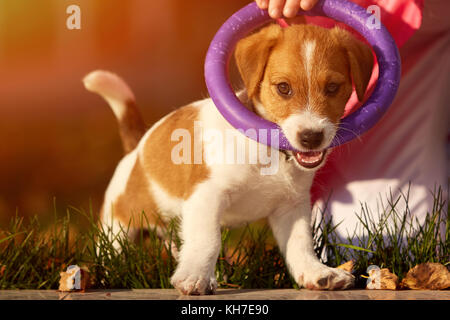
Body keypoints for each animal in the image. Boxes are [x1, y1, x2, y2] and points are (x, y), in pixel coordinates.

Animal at [83, 23, 372, 296]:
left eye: (333, 87)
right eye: (283, 88)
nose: (311, 137)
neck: (267, 150)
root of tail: (137, 147)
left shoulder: (291, 206)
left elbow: (300, 244)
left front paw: (316, 274)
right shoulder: (206, 195)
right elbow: (208, 240)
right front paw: (196, 277)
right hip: (118, 228)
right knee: (112, 252)